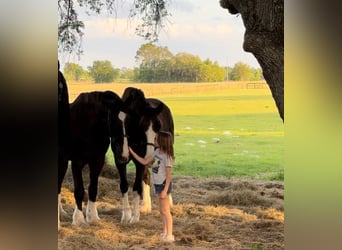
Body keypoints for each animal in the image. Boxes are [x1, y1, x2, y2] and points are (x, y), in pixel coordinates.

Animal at [58, 91, 130, 228]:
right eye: (115, 122)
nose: (124, 156)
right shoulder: (77, 162)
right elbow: (79, 190)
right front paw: (79, 219)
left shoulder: (97, 160)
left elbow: (93, 188)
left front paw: (92, 217)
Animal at [114, 87, 175, 223]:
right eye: (141, 125)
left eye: (158, 126)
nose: (151, 154)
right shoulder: (120, 160)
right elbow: (124, 185)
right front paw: (126, 215)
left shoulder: (141, 161)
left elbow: (137, 187)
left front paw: (135, 217)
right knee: (147, 176)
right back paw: (145, 205)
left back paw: (169, 201)